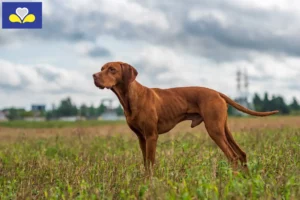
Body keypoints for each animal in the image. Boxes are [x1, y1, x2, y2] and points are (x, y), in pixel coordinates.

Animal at [93, 61, 278, 174]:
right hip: (223, 128)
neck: (131, 98)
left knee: (232, 156)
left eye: (112, 69)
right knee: (241, 153)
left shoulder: (152, 136)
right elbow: (146, 163)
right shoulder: (141, 138)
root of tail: (217, 92)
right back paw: (245, 178)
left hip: (214, 130)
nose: (94, 76)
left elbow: (151, 162)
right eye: (101, 68)